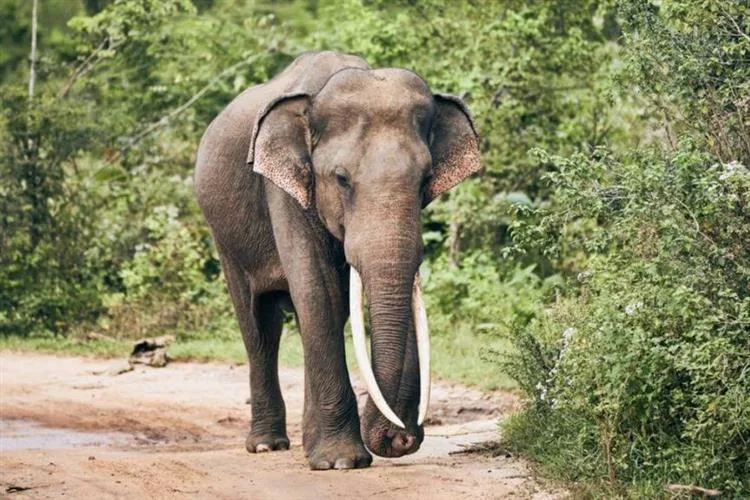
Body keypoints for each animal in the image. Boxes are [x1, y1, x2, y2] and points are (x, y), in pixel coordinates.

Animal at [194, 50, 481, 470]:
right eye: (342, 178)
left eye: (425, 178)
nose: (401, 438)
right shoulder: (284, 191)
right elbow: (319, 292)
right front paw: (340, 462)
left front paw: (339, 454)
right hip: (225, 236)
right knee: (259, 325)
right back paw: (266, 445)